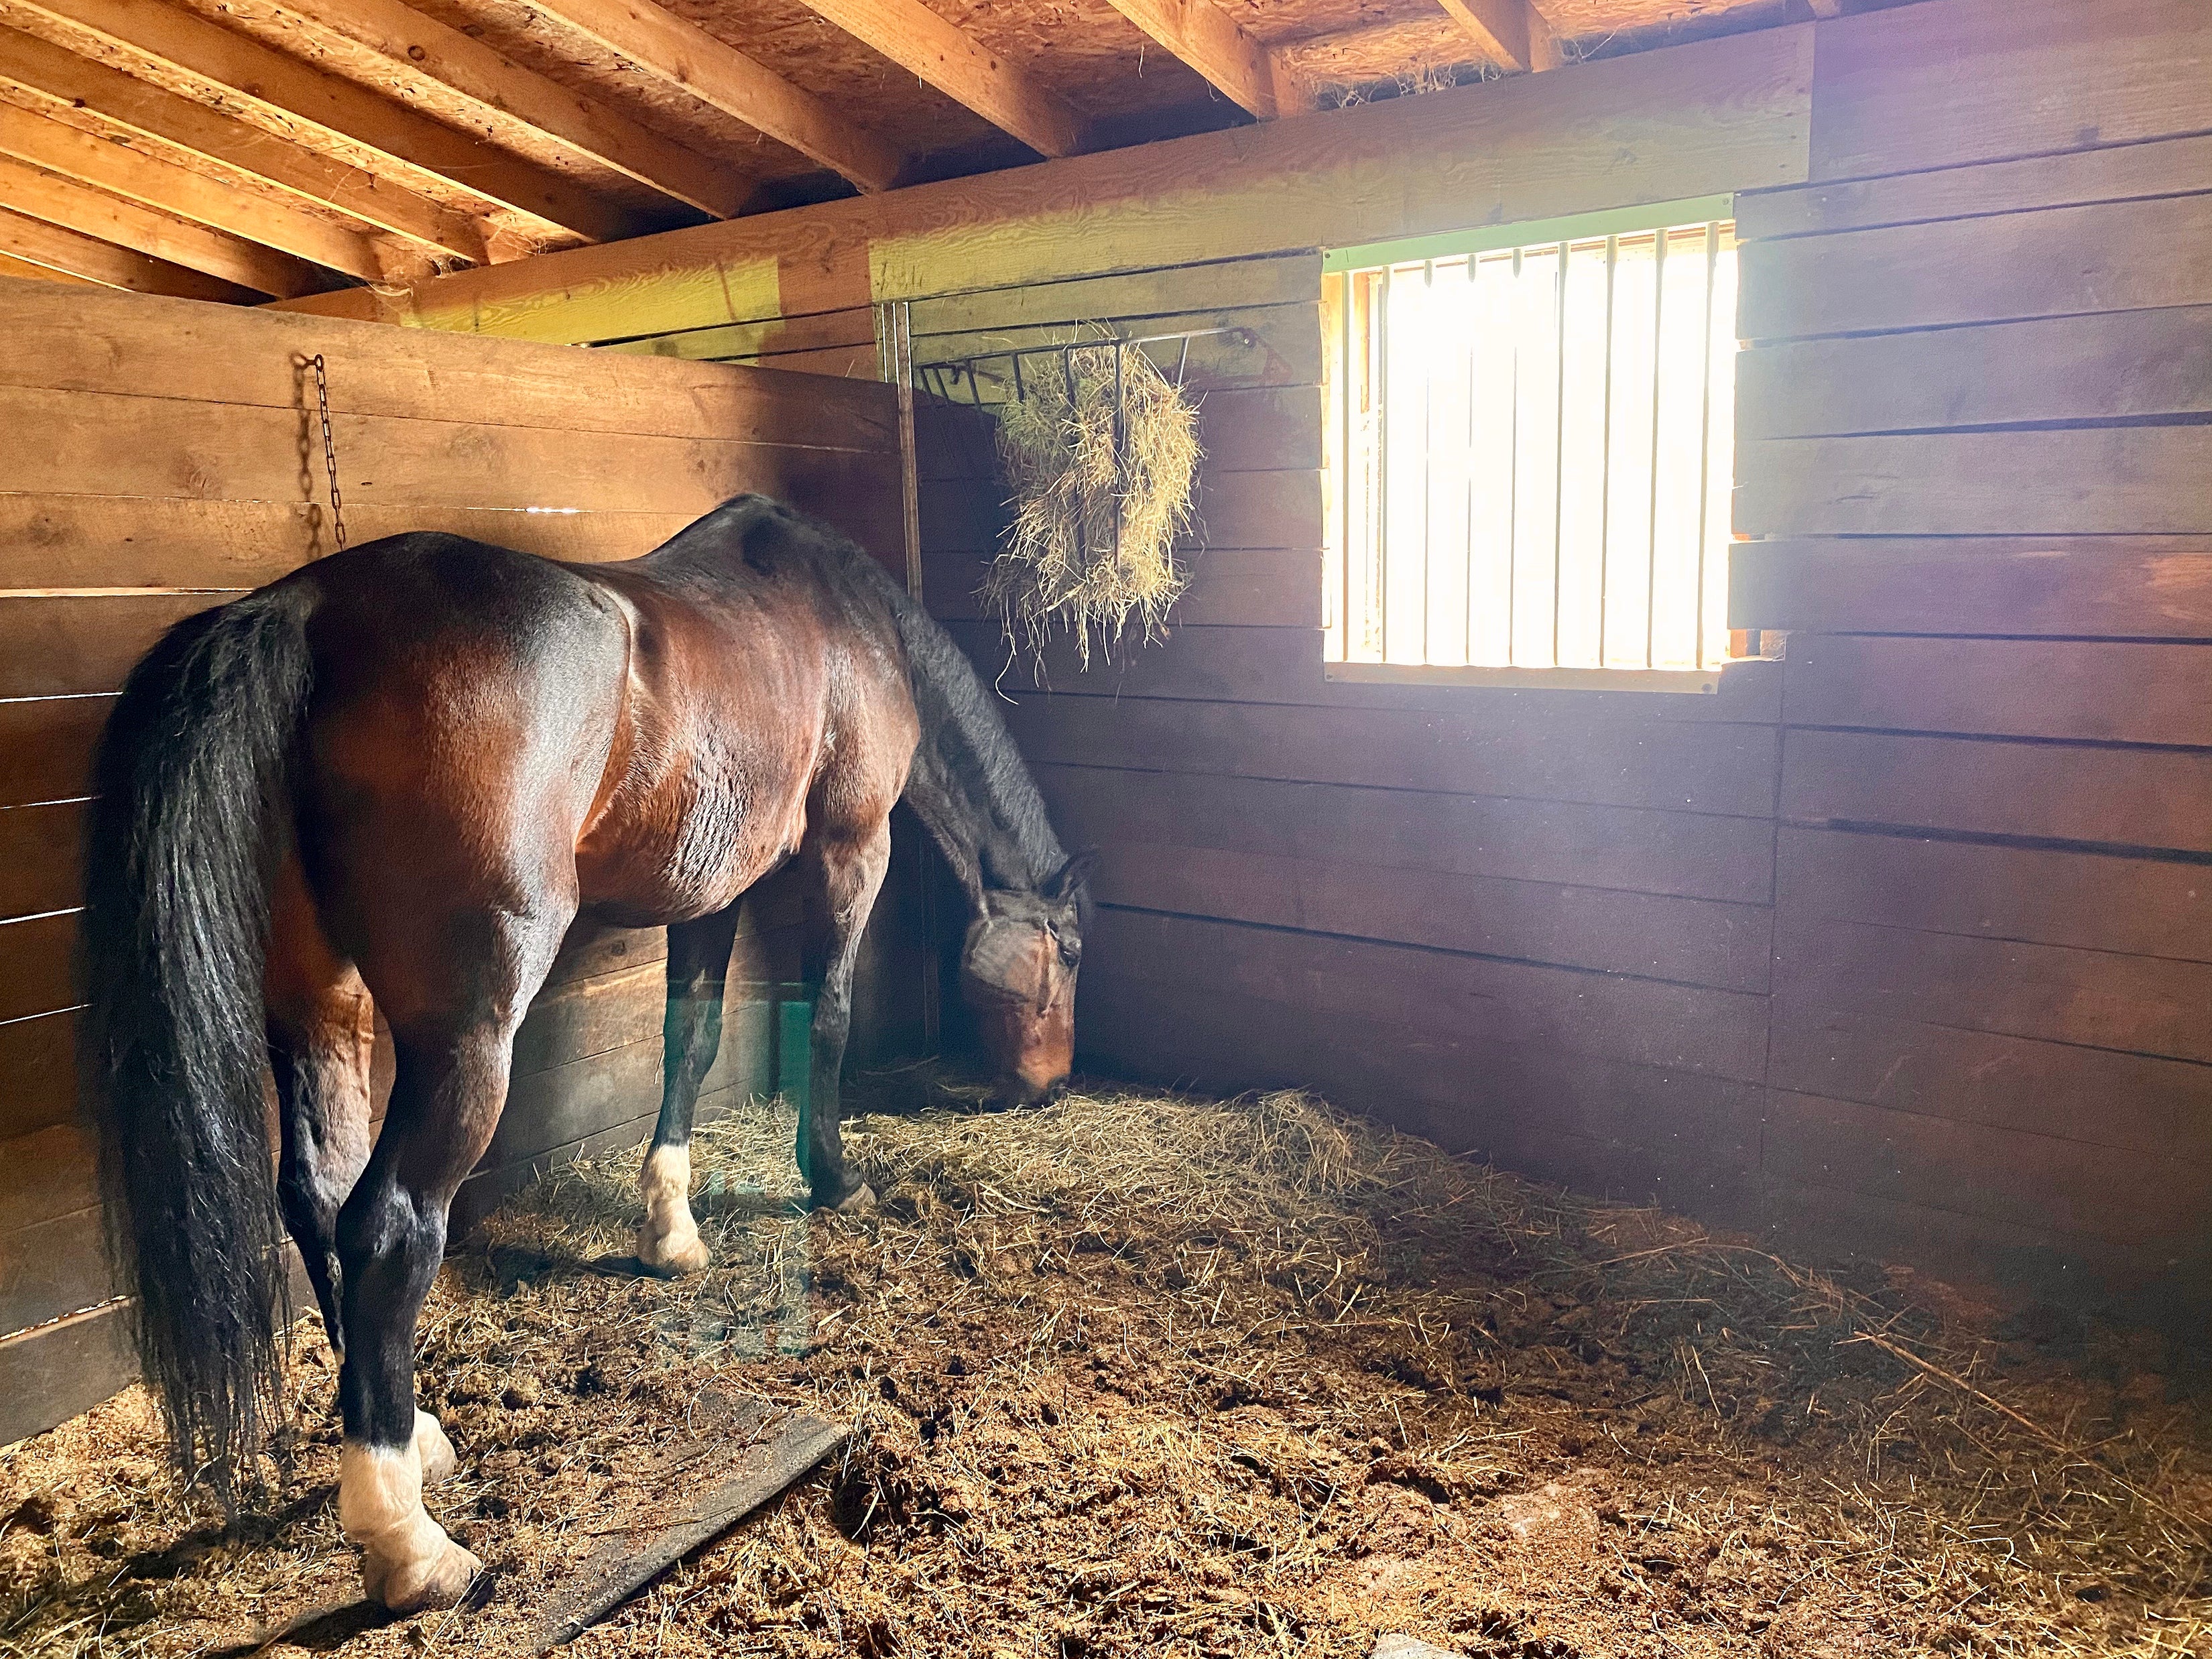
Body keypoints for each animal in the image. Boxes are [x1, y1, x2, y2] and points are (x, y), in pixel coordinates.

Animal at [79, 494, 1092, 1613]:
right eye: (1070, 950)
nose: (1049, 1084)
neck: (842, 620)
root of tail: (306, 608)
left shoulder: (718, 885)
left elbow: (691, 1038)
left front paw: (671, 1228)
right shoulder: (848, 846)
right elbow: (826, 1014)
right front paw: (833, 1177)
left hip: (319, 1000)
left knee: (317, 1194)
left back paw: (414, 1435)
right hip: (469, 1029)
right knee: (387, 1222)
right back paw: (413, 1545)